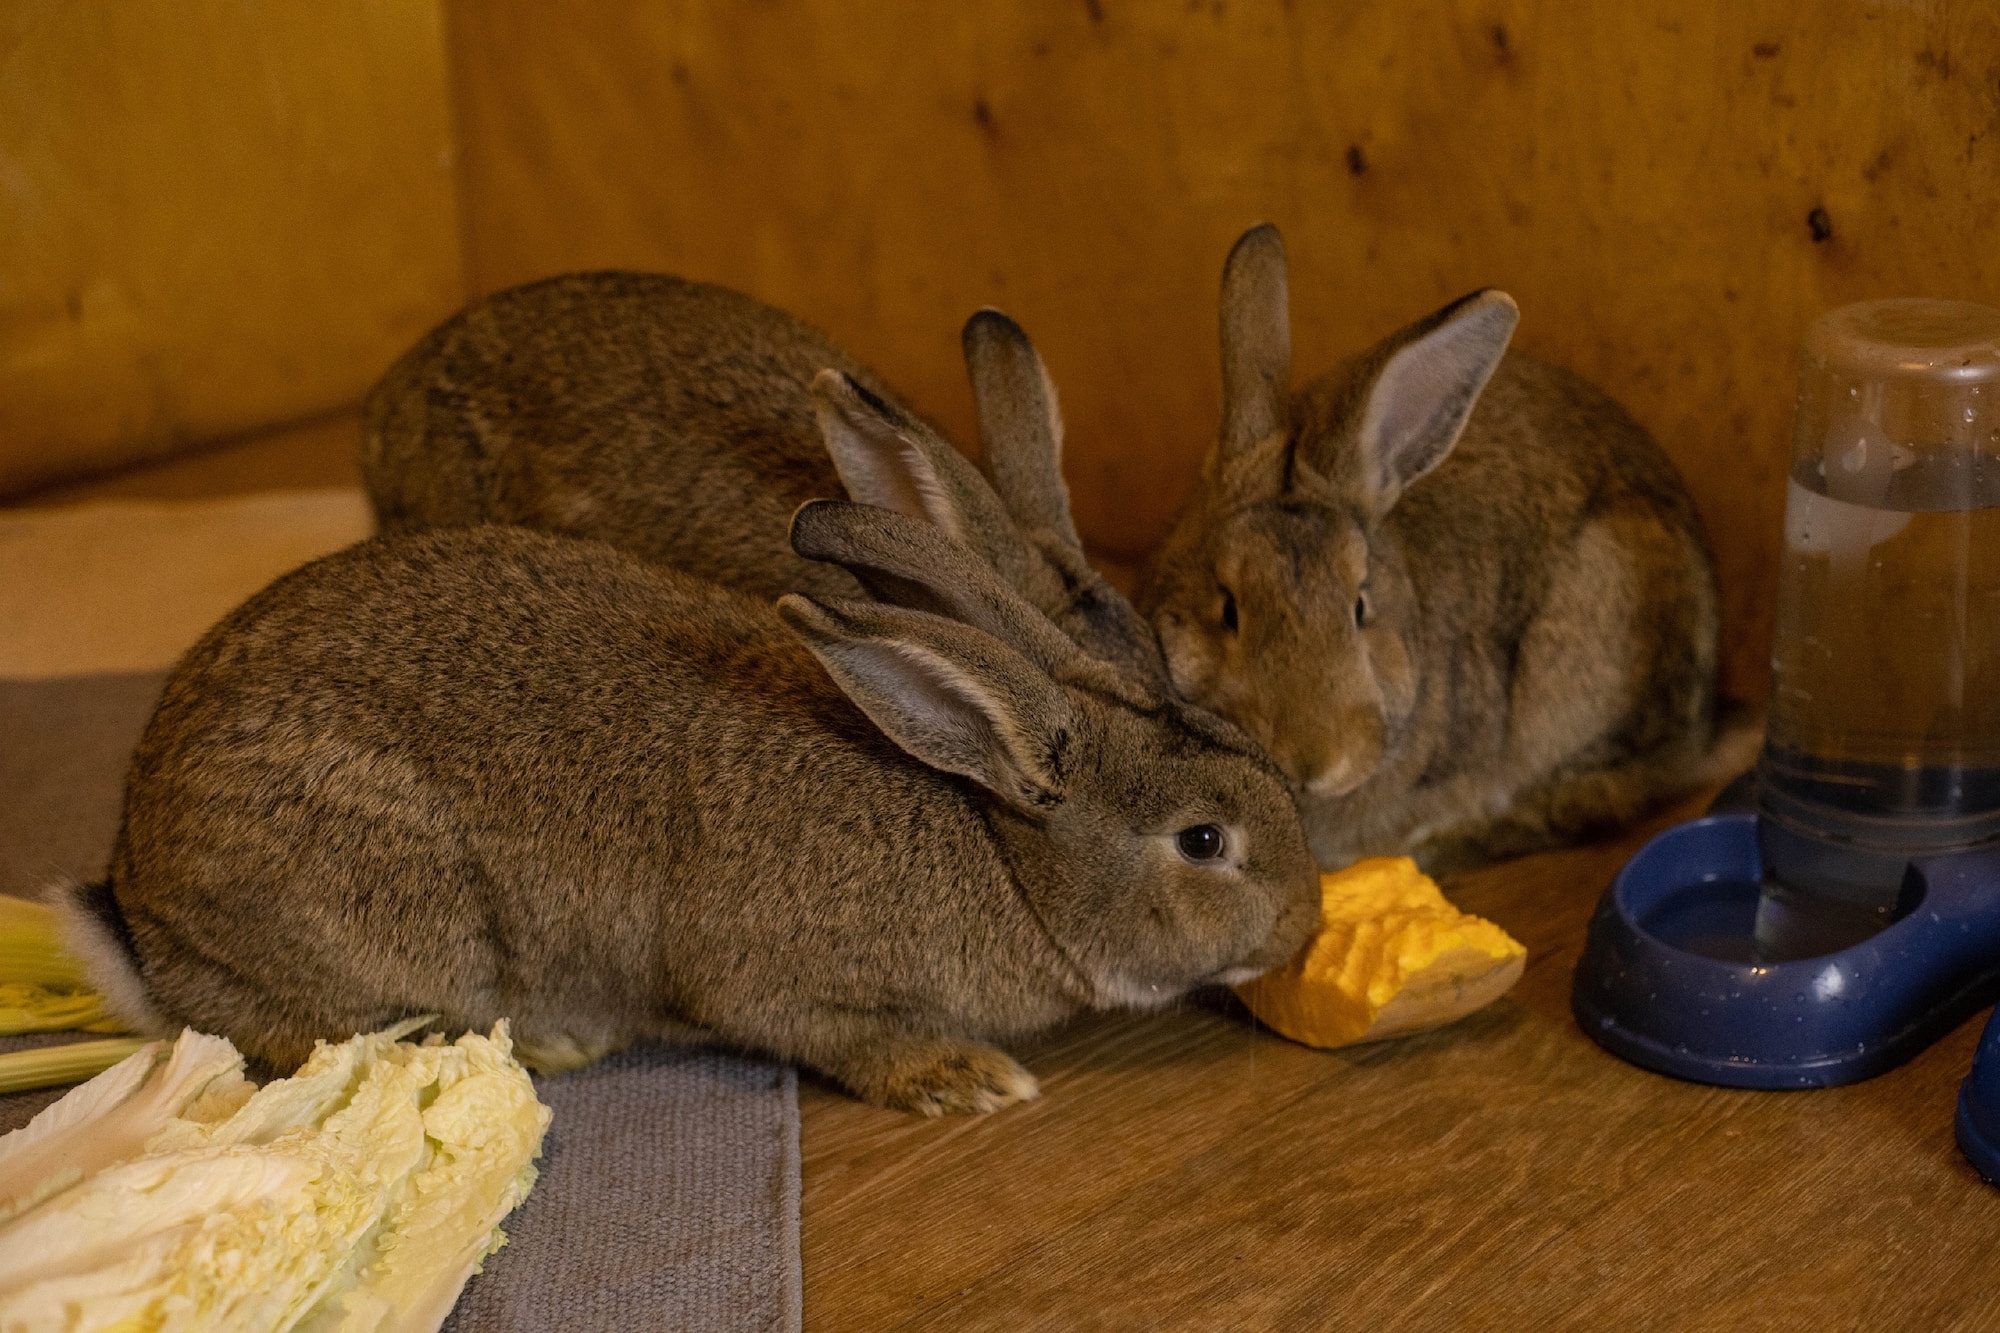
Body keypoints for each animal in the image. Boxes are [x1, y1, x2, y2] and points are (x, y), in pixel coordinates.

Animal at [62, 374, 1320, 1112]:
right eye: (1202, 840)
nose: (1302, 928)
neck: (997, 843)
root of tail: (139, 901)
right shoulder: (772, 981)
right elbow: (830, 1034)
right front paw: (964, 1076)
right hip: (391, 908)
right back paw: (547, 1048)